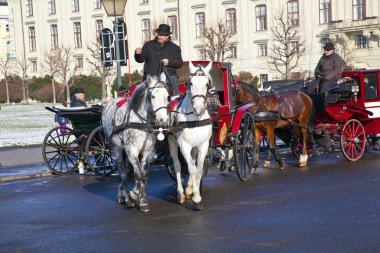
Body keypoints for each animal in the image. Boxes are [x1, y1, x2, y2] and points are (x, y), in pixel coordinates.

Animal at [101, 74, 168, 212]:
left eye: (167, 96)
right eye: (153, 96)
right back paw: (123, 196)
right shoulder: (132, 150)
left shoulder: (148, 152)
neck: (142, 122)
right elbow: (139, 175)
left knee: (126, 171)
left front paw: (142, 201)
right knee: (122, 173)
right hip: (117, 149)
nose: (164, 121)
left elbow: (144, 176)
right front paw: (132, 197)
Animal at [169, 61, 214, 210]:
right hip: (172, 143)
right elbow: (191, 168)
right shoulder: (184, 145)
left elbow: (198, 169)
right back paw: (181, 193)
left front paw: (195, 193)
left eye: (206, 84)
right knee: (177, 165)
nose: (198, 108)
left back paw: (188, 189)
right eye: (191, 83)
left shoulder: (203, 145)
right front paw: (196, 197)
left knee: (192, 162)